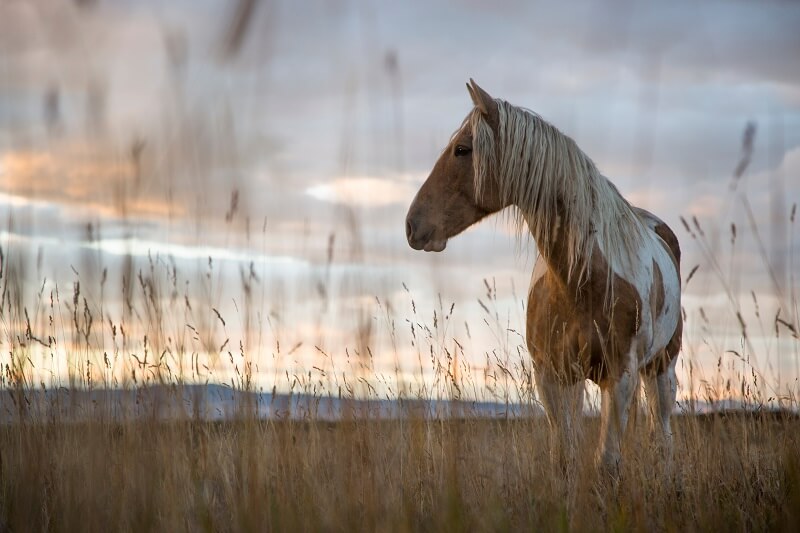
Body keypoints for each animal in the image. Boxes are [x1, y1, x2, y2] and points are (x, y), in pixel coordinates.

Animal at [406, 80, 680, 474]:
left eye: (462, 149)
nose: (412, 225)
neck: (579, 283)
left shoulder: (620, 376)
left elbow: (607, 462)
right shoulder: (551, 376)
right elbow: (563, 457)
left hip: (662, 367)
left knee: (663, 433)